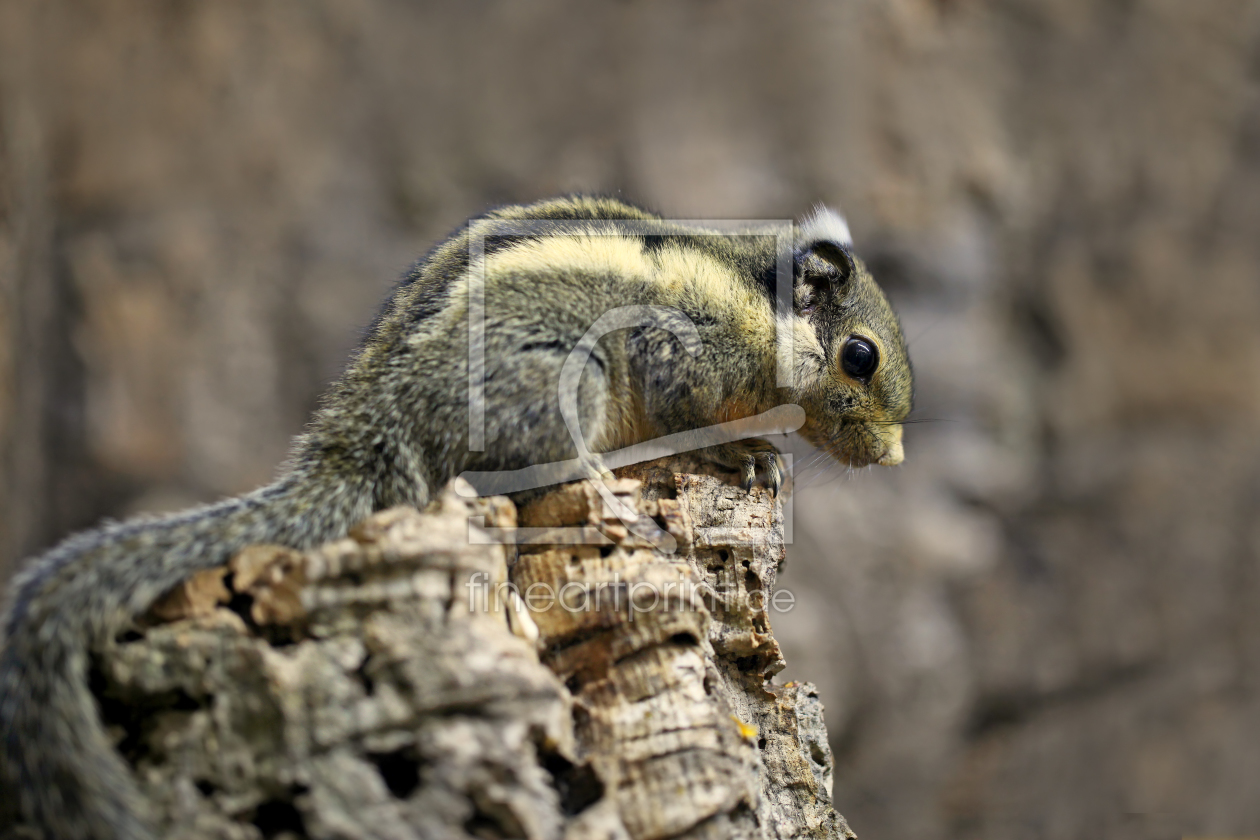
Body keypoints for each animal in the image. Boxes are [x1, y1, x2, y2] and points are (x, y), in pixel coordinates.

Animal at [0, 195, 907, 836]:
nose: (895, 458)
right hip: (557, 385)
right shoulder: (682, 351)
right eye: (859, 357)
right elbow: (693, 413)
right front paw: (742, 453)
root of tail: (372, 429)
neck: (756, 300)